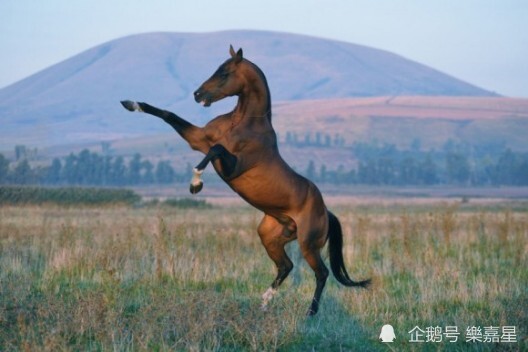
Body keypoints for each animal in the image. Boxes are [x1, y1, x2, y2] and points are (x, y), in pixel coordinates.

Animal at [120, 45, 370, 314]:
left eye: (224, 73)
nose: (197, 94)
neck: (241, 123)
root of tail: (327, 211)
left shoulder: (231, 167)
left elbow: (216, 149)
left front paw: (195, 183)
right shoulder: (197, 139)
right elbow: (168, 114)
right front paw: (130, 104)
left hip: (308, 244)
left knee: (321, 273)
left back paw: (309, 314)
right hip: (269, 236)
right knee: (286, 266)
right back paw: (263, 302)